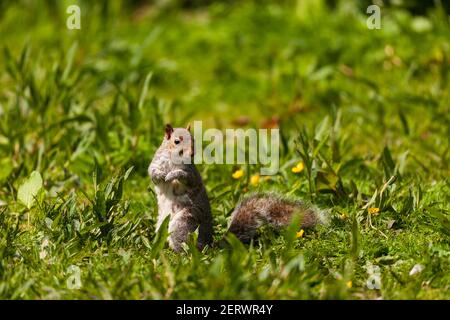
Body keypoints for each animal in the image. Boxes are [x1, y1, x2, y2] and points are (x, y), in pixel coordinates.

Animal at [148, 124, 326, 251]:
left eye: (194, 140)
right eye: (176, 141)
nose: (191, 153)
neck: (172, 160)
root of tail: (207, 245)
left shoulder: (191, 173)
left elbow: (188, 179)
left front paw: (172, 175)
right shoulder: (156, 162)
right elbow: (152, 173)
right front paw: (161, 175)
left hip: (184, 222)